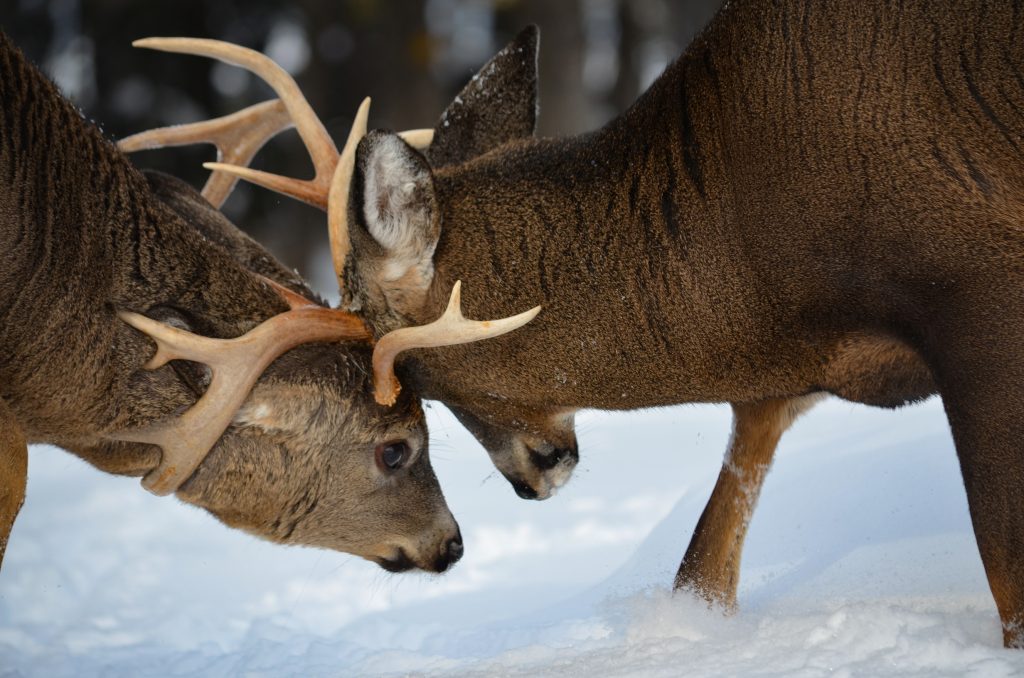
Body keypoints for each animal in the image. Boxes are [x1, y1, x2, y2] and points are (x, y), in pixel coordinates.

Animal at [132, 0, 1024, 651]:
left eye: (415, 373)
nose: (533, 478)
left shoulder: (975, 283)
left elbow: (1006, 575)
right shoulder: (793, 374)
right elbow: (705, 564)